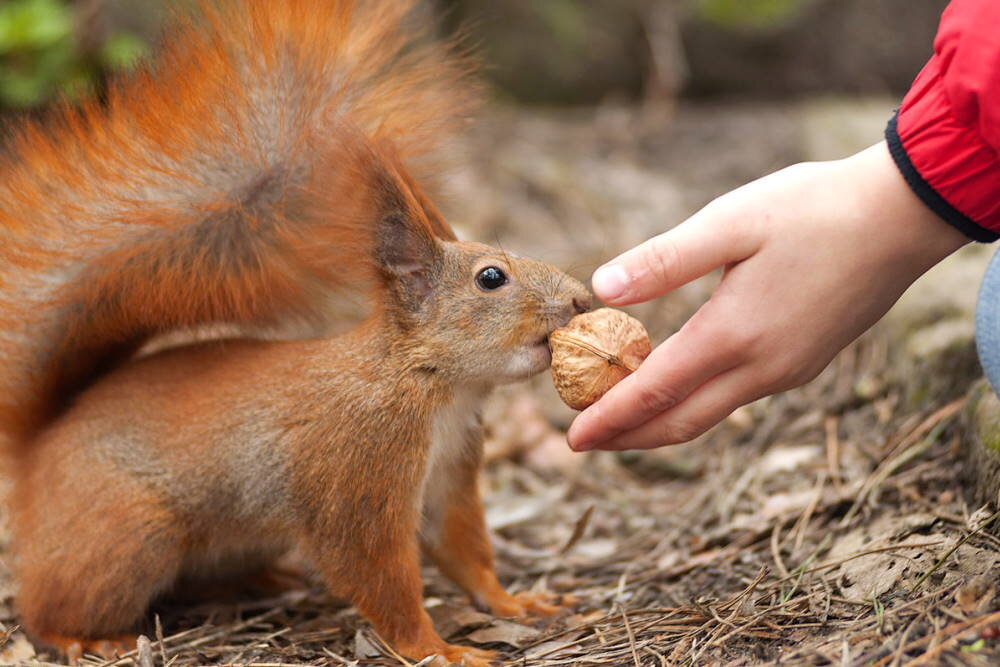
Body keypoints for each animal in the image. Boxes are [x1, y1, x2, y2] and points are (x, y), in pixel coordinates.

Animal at [0, 2, 592, 664]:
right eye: (492, 277)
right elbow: (377, 573)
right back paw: (85, 637)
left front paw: (515, 603)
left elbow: (462, 548)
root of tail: (39, 450)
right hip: (127, 534)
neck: (429, 385)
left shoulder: (450, 470)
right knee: (45, 608)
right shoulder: (357, 470)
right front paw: (438, 648)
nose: (579, 300)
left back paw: (268, 580)